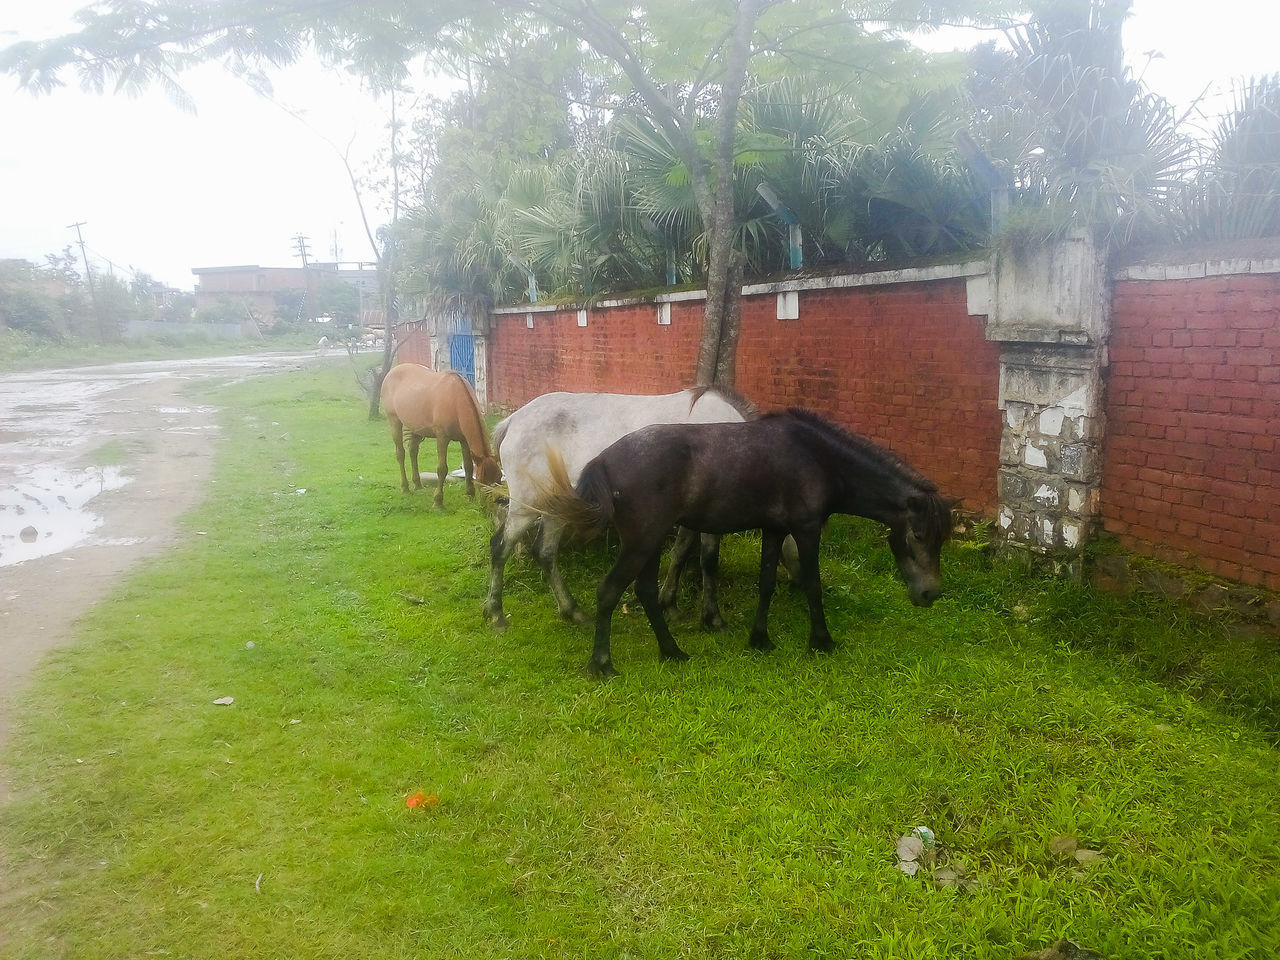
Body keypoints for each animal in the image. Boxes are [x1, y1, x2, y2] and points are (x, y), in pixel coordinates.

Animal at [378, 363, 499, 512]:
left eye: (499, 479)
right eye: (482, 481)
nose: (488, 507)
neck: (455, 399)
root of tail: (392, 371)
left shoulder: (464, 440)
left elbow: (469, 466)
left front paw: (470, 495)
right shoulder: (442, 438)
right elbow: (442, 469)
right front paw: (438, 502)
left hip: (415, 427)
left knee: (413, 451)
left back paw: (418, 484)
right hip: (395, 421)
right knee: (400, 453)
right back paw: (405, 487)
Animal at [483, 389, 793, 632]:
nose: (797, 583)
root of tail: (512, 421)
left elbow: (680, 553)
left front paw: (671, 605)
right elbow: (708, 561)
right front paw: (713, 618)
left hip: (558, 506)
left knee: (546, 553)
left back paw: (573, 611)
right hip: (525, 506)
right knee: (500, 547)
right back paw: (496, 613)